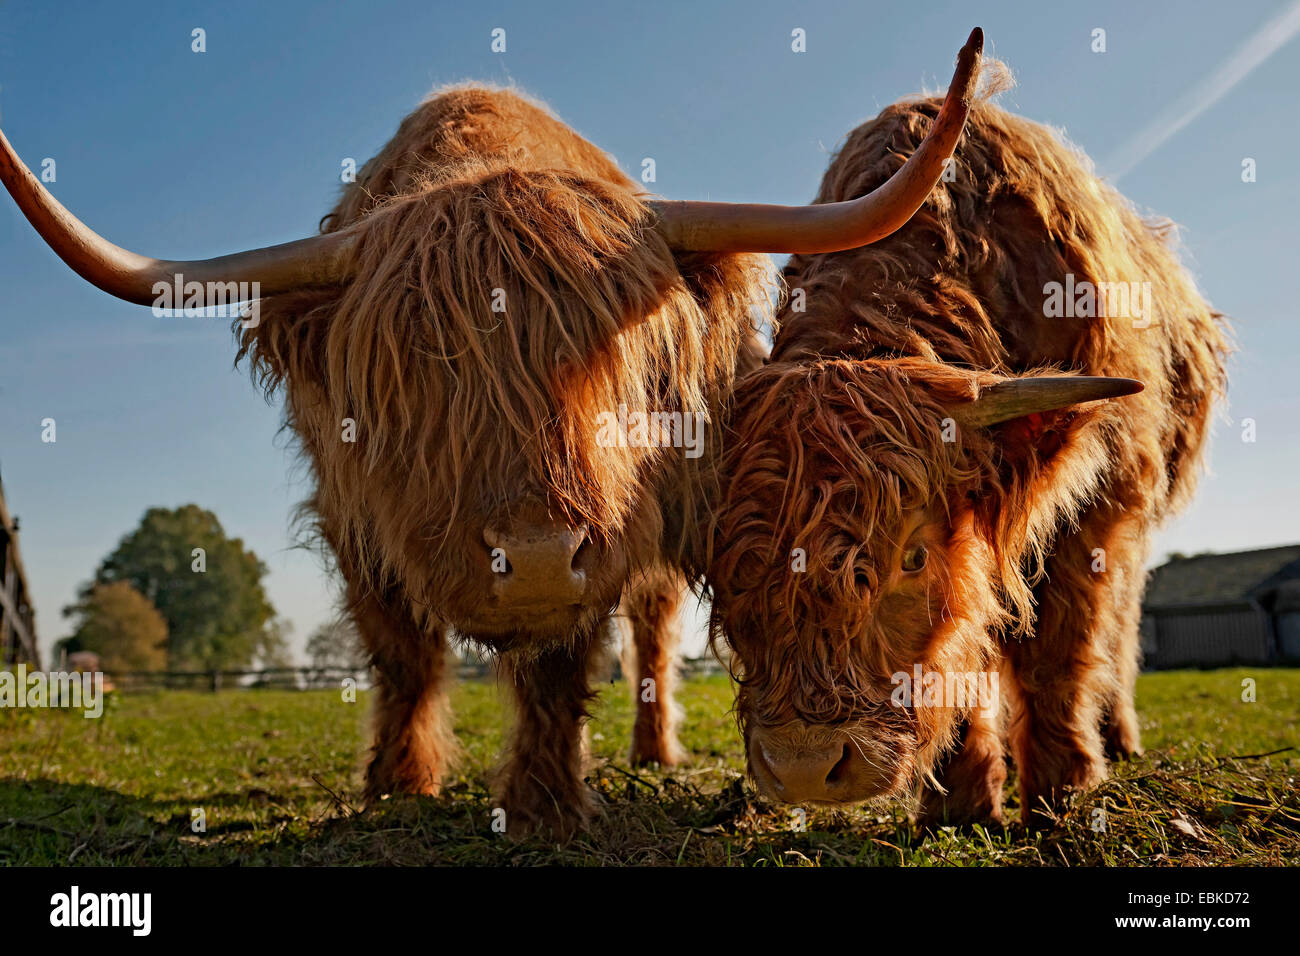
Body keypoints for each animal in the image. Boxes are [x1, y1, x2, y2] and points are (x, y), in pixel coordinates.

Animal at [0, 31, 977, 837]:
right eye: (423, 369)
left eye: (616, 356)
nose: (536, 556)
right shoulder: (353, 513)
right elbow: (400, 652)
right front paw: (400, 780)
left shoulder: (610, 535)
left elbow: (558, 666)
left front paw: (545, 807)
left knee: (654, 625)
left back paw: (655, 749)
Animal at [707, 59, 1222, 827]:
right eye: (724, 565)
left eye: (913, 556)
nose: (804, 767)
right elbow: (968, 646)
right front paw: (962, 802)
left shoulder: (1099, 504)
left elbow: (1059, 646)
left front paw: (1064, 789)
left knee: (1119, 621)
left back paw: (1117, 735)